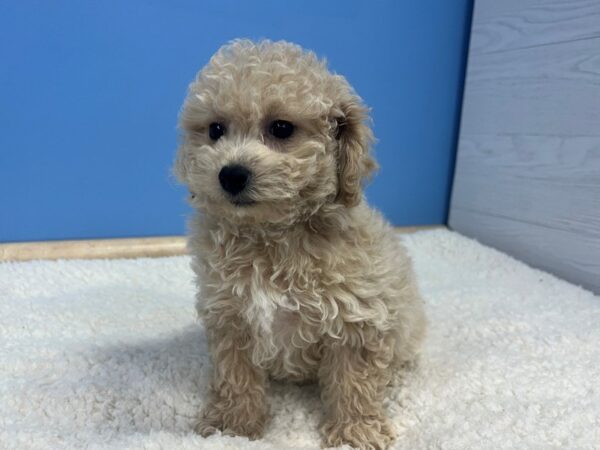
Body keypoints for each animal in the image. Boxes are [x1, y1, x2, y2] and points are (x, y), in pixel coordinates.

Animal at [173, 39, 426, 450]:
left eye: (281, 128)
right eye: (215, 130)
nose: (231, 174)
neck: (273, 235)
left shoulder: (358, 315)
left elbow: (354, 381)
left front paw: (355, 432)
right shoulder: (230, 313)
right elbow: (235, 372)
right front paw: (233, 425)